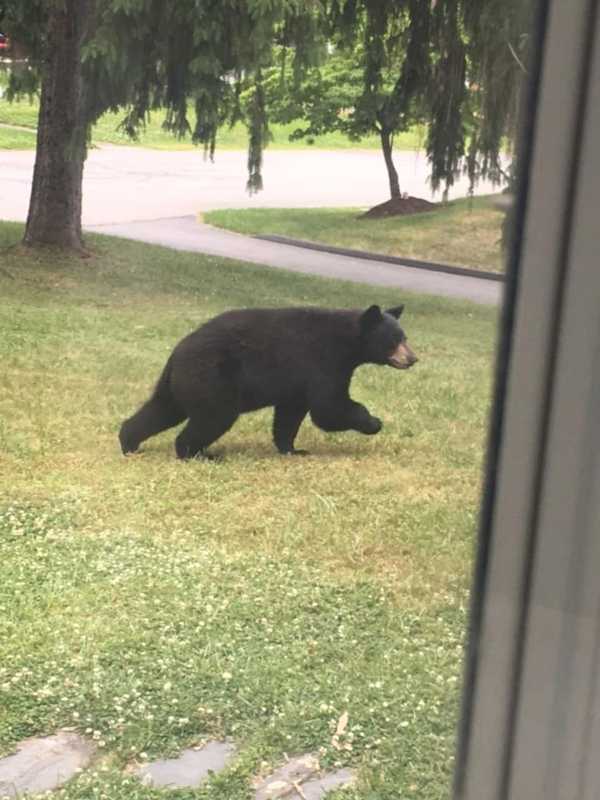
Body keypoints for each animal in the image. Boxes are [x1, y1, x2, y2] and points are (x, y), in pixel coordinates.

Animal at [117, 304, 418, 460]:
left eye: (404, 337)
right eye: (394, 340)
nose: (412, 358)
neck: (348, 342)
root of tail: (176, 353)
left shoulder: (296, 384)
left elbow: (289, 415)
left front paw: (293, 449)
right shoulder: (322, 361)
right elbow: (328, 408)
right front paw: (374, 422)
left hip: (182, 384)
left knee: (162, 409)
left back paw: (128, 441)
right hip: (213, 380)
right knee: (212, 418)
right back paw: (198, 454)